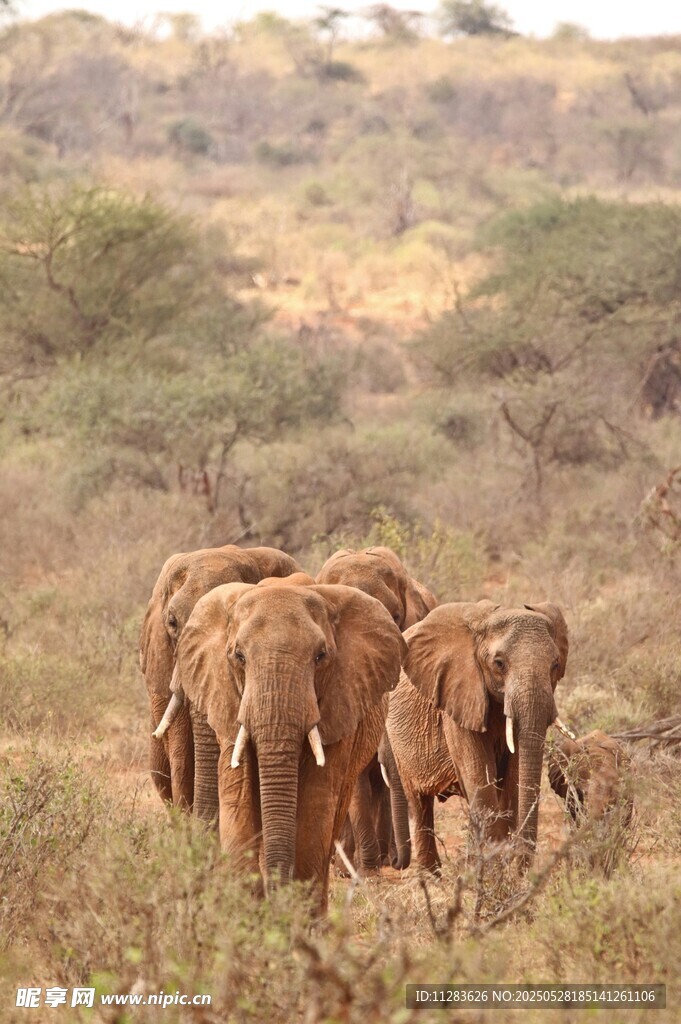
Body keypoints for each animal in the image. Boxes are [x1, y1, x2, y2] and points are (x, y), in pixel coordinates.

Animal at [162, 577, 406, 912]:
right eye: (239, 657)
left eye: (321, 657)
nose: (276, 895)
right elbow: (238, 796)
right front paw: (250, 913)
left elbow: (316, 804)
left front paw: (295, 914)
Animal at [387, 599, 571, 869]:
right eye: (499, 663)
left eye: (555, 664)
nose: (521, 865)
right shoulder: (457, 697)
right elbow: (480, 779)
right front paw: (495, 869)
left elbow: (513, 778)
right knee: (419, 803)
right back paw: (432, 874)